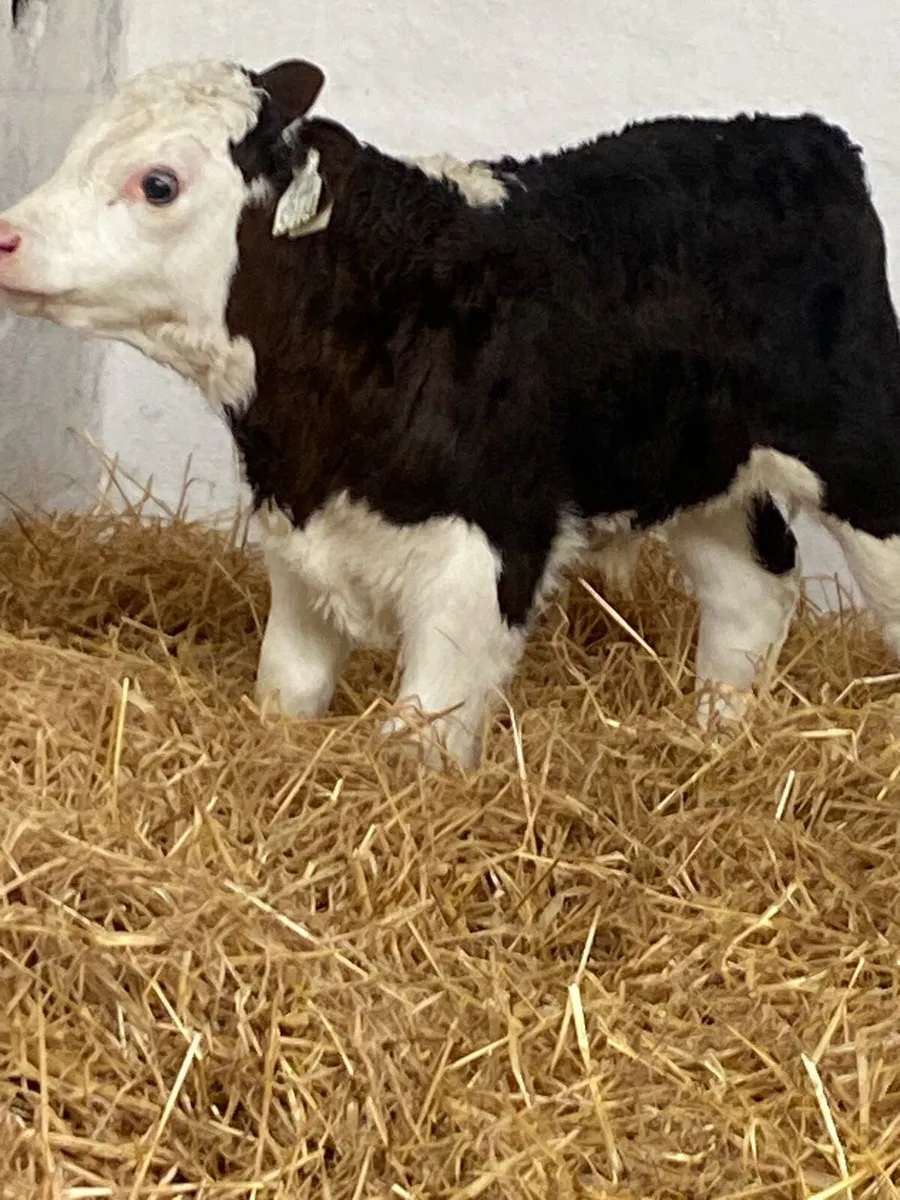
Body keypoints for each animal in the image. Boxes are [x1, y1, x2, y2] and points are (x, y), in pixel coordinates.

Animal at [1, 57, 899, 771]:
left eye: (158, 183)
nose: (6, 237)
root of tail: (799, 136)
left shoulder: (488, 552)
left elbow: (422, 735)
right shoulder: (299, 550)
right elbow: (287, 686)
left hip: (859, 452)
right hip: (695, 461)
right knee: (754, 587)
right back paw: (716, 733)